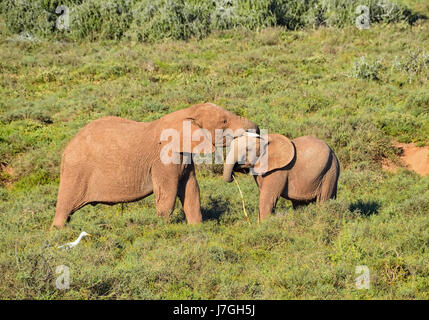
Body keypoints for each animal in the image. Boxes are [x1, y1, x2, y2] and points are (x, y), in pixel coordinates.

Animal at [50, 102, 258, 228]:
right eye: (224, 121)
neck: (186, 112)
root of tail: (66, 149)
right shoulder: (163, 159)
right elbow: (168, 194)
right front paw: (163, 230)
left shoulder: (183, 156)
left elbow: (191, 190)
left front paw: (197, 228)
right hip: (76, 171)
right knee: (64, 208)